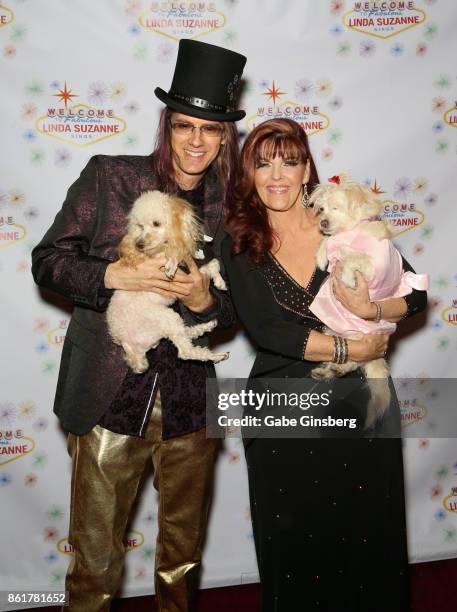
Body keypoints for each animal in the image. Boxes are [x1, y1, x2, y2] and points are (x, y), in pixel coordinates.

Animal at [306, 177, 428, 426]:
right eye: (322, 209)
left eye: (336, 208)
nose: (323, 222)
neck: (351, 230)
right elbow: (329, 241)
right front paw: (322, 255)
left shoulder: (371, 265)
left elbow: (352, 255)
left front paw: (344, 270)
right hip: (333, 331)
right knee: (346, 357)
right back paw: (328, 371)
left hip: (359, 339)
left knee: (354, 360)